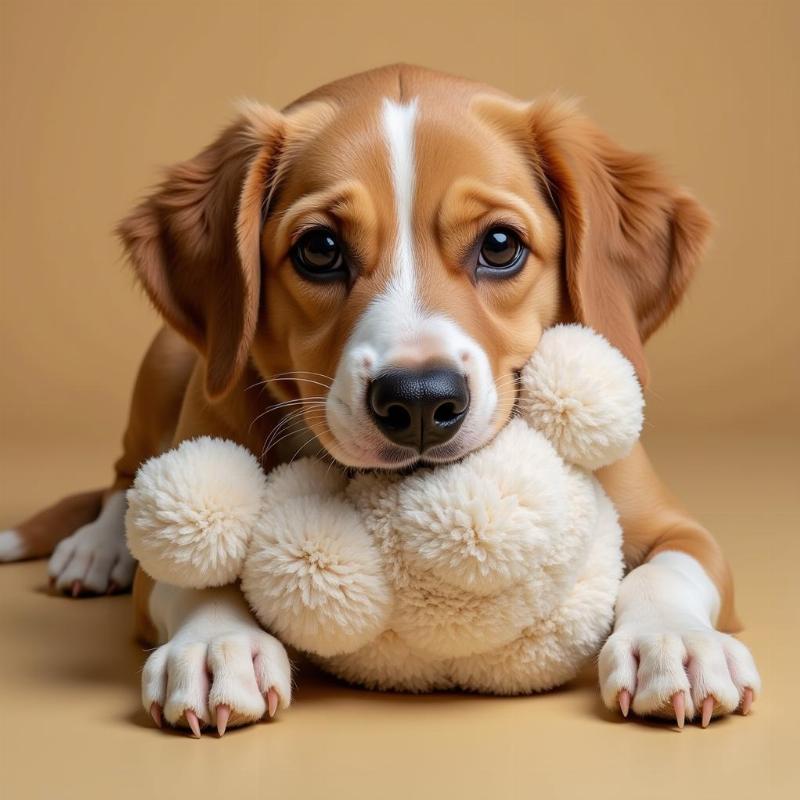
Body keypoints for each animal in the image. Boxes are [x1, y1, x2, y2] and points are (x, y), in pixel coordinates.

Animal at [0, 65, 760, 736]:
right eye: (320, 249)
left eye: (501, 245)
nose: (419, 402)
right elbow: (189, 577)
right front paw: (216, 645)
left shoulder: (679, 526)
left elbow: (668, 571)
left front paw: (676, 644)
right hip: (164, 360)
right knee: (123, 476)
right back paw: (96, 547)